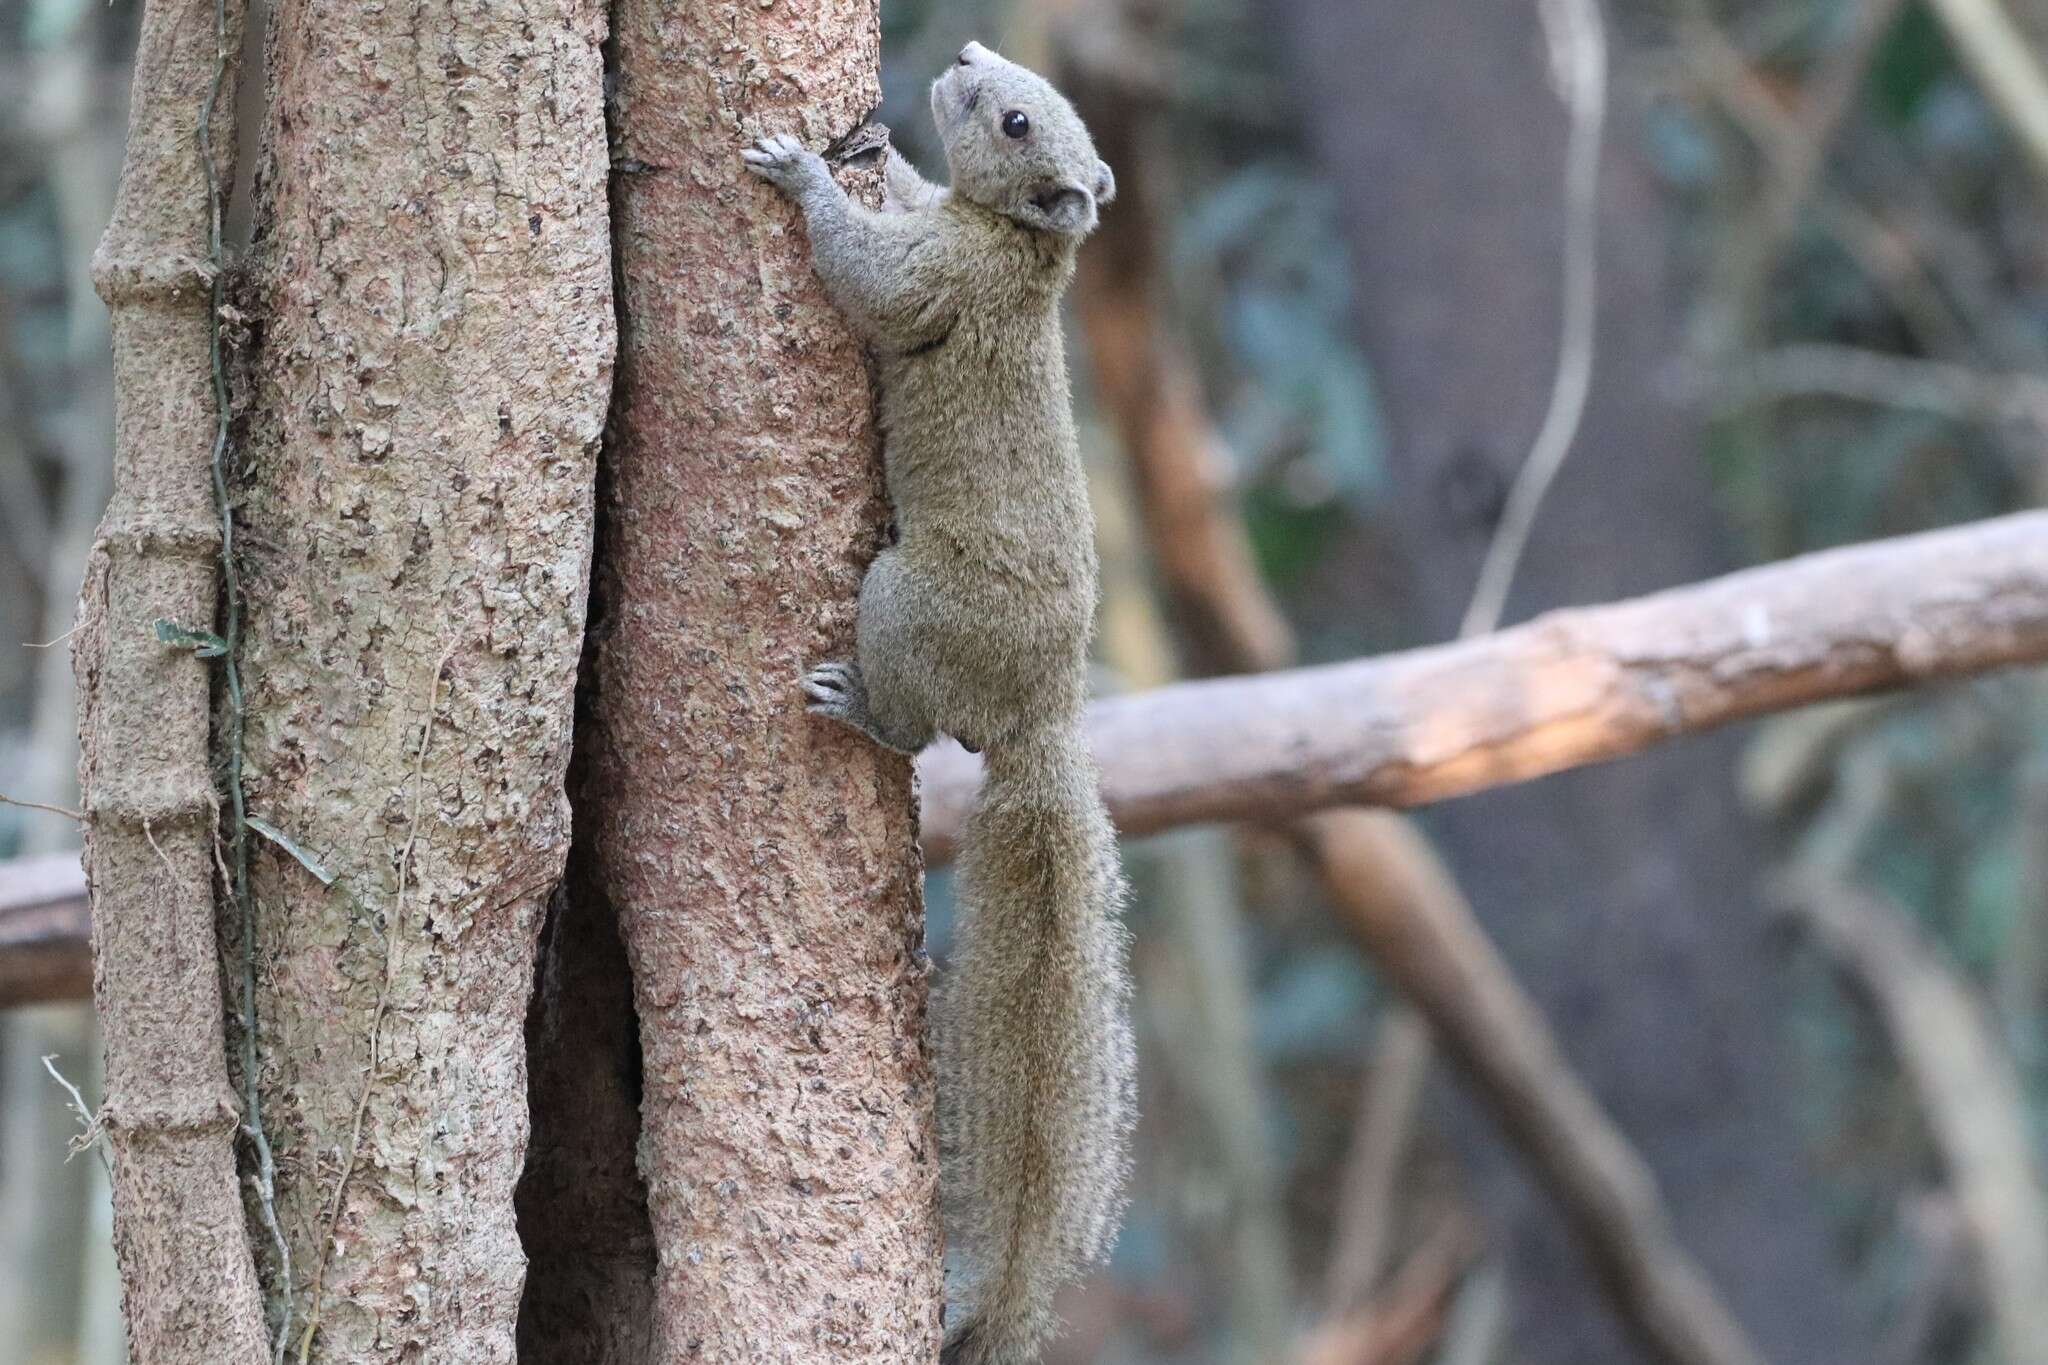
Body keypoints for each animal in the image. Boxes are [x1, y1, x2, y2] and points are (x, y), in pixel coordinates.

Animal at [745, 40, 1138, 1365]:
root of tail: (1041, 715)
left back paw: (858, 706)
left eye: (1016, 121)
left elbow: (870, 283)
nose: (963, 54)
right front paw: (877, 150)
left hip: (900, 600)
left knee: (916, 729)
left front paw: (803, 169)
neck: (1020, 251)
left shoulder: (935, 281)